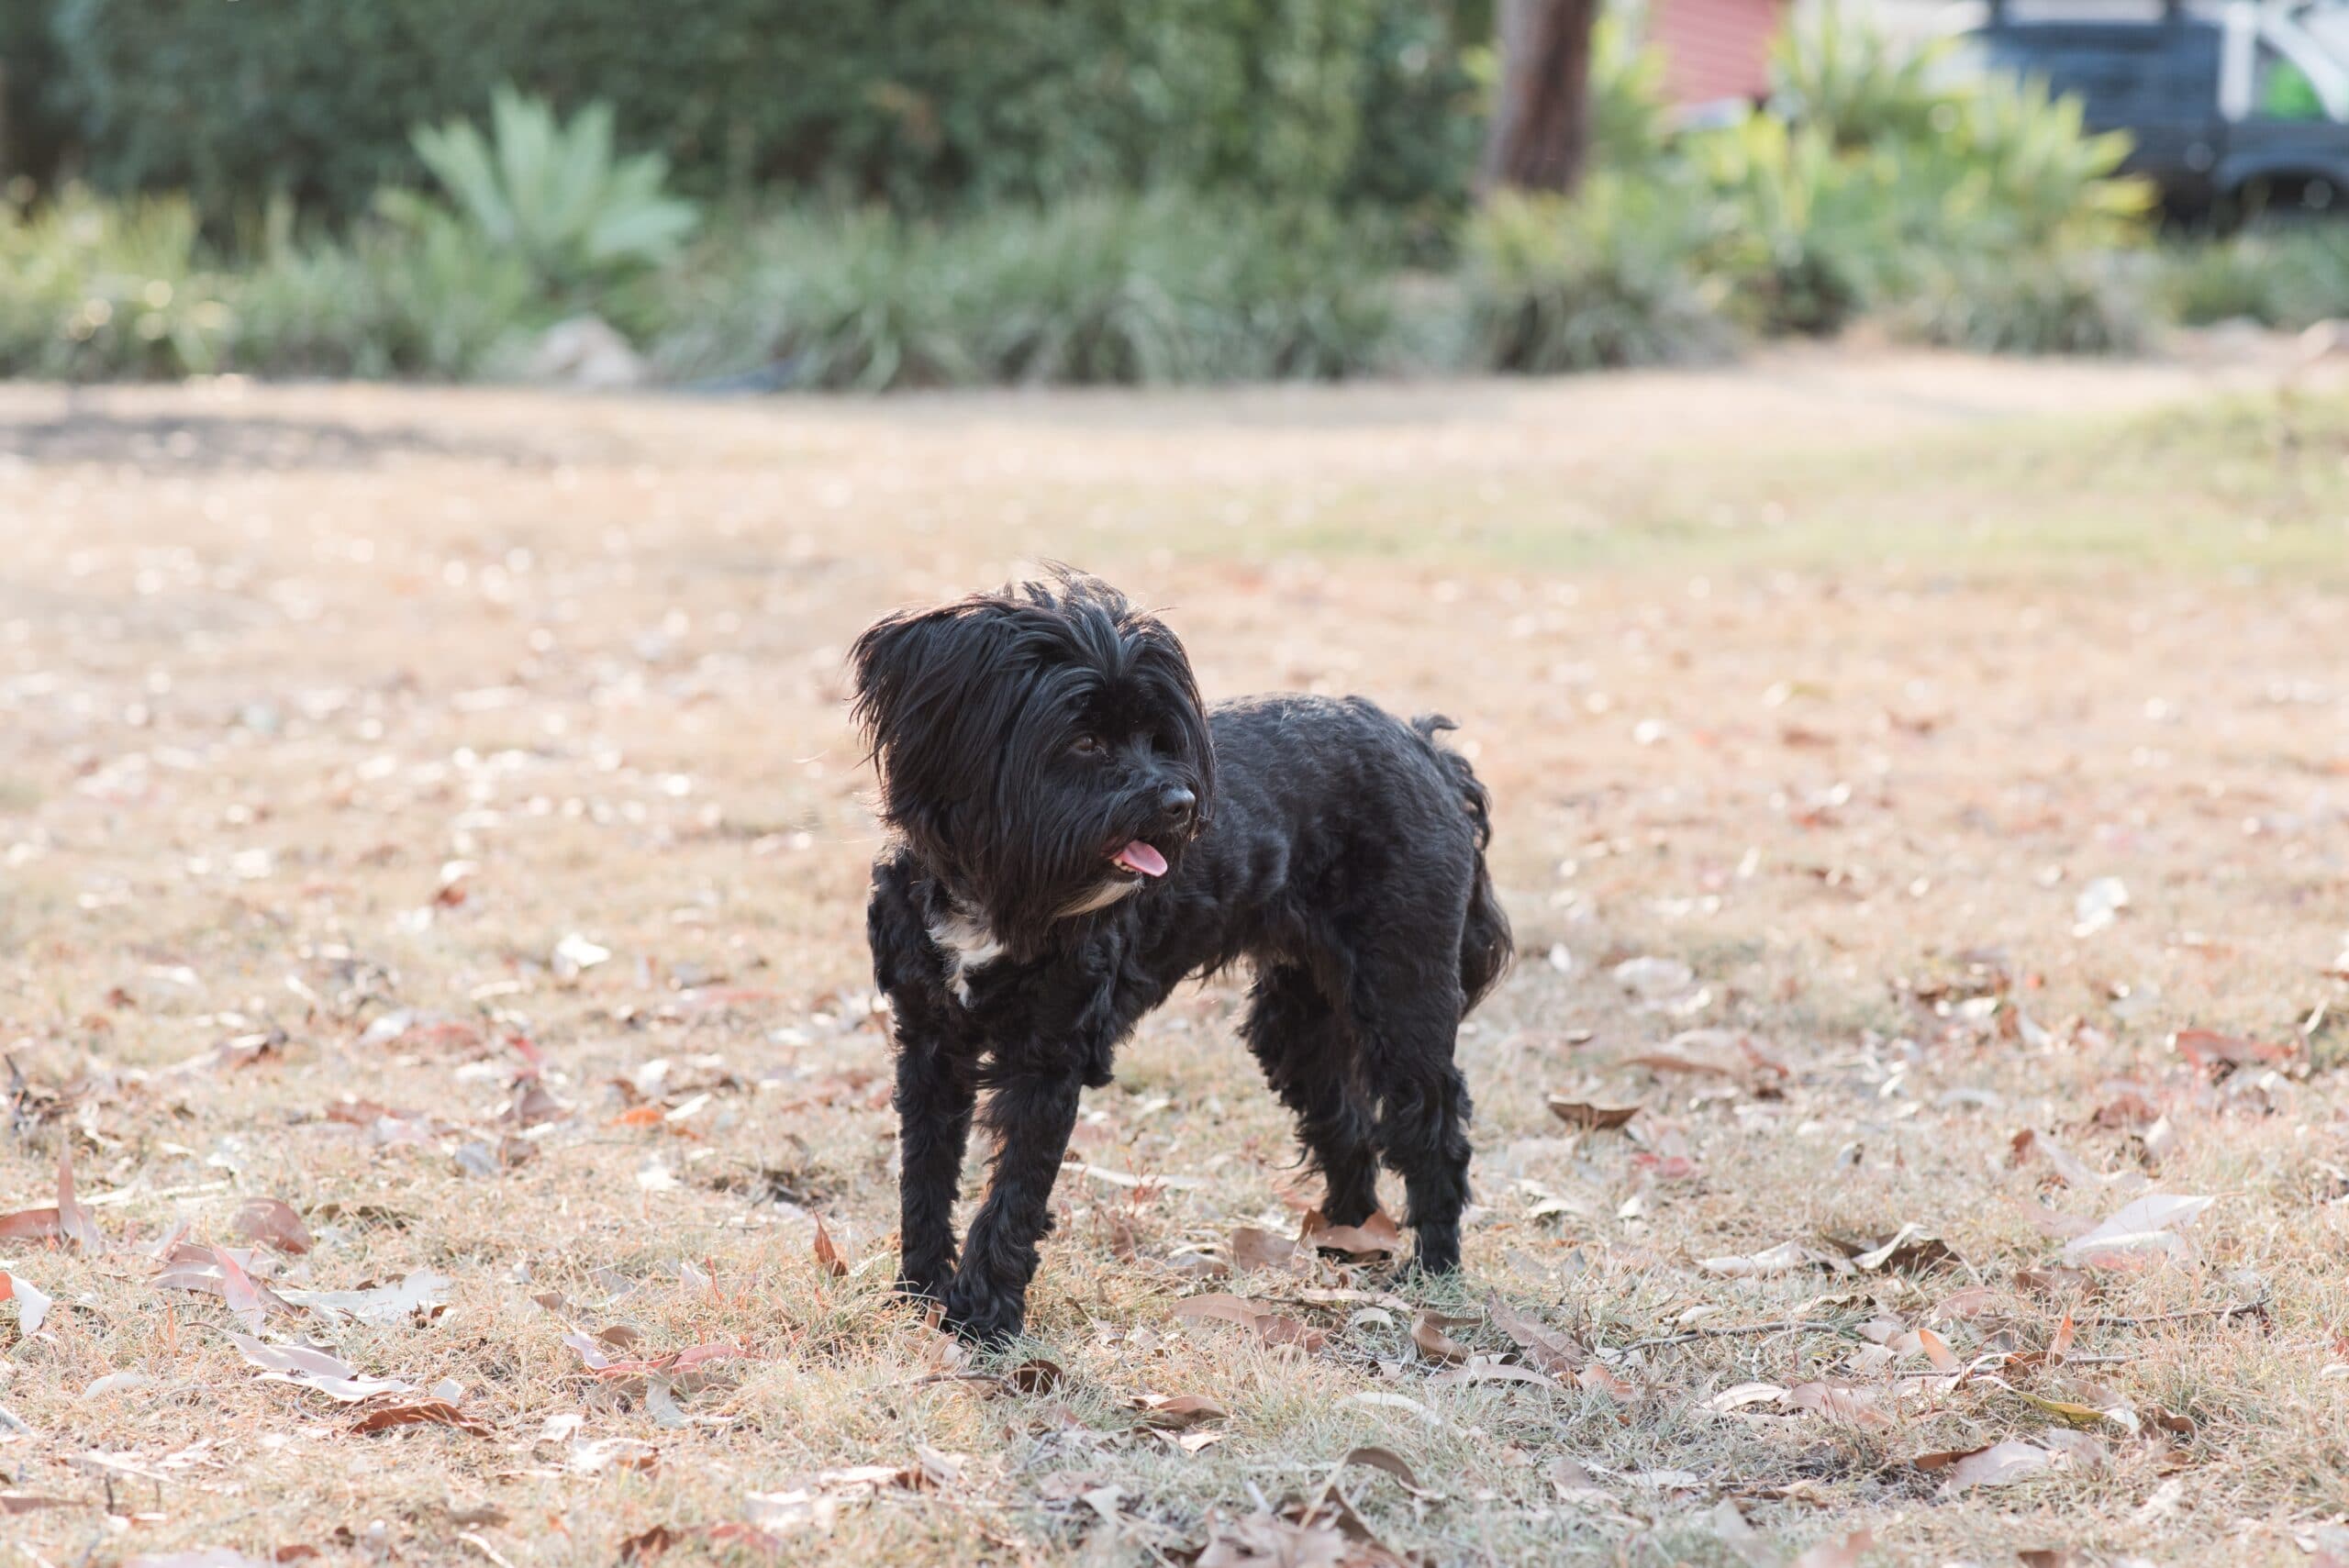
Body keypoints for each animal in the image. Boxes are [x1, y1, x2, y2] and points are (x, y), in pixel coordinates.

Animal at [854, 570, 1512, 1342]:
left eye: (1157, 737)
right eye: (1082, 738)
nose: (1180, 802)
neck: (997, 886)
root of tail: (1425, 747)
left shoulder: (1049, 1055)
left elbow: (1014, 1192)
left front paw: (983, 1314)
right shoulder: (929, 1042)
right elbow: (923, 1174)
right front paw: (919, 1290)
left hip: (1405, 994)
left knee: (1435, 1128)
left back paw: (1432, 1270)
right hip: (1299, 1020)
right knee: (1344, 1118)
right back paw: (1349, 1240)